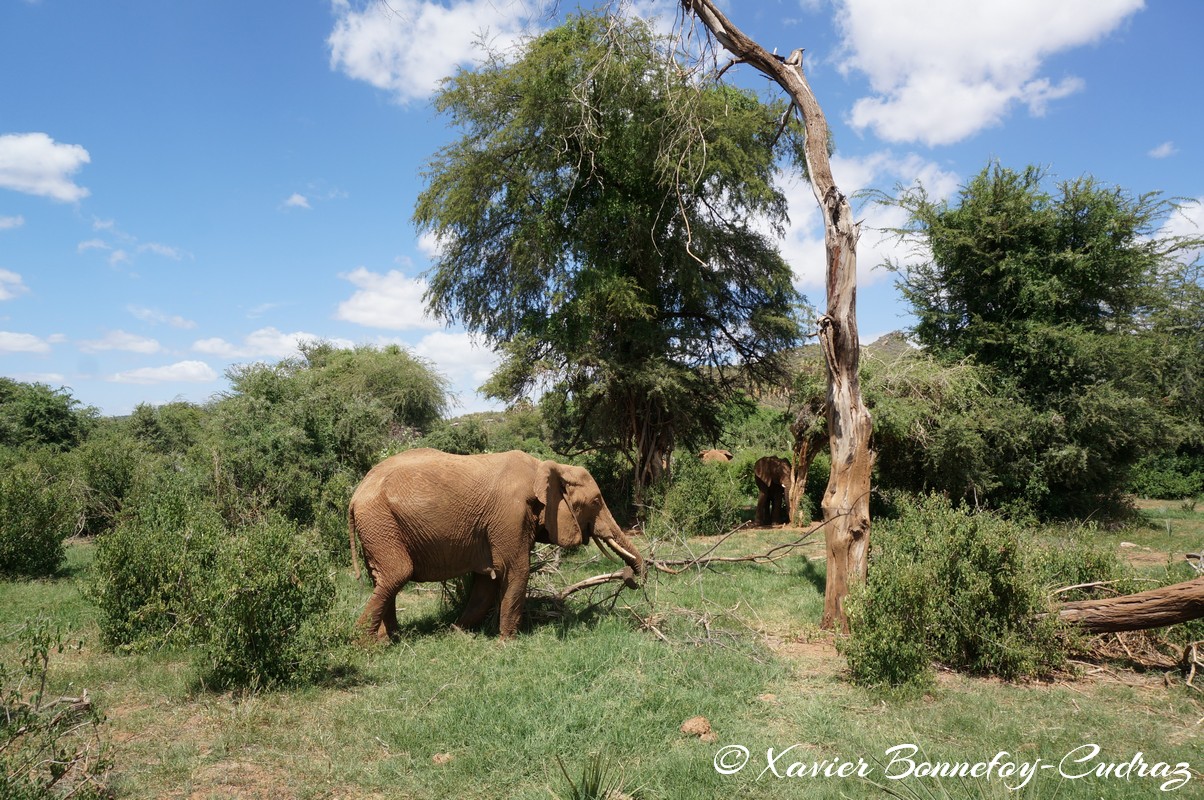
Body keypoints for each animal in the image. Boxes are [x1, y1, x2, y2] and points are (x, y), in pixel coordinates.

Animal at [344, 445, 645, 640]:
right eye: (595, 501)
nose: (631, 579)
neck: (544, 467)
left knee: (383, 579)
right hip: (380, 522)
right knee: (397, 574)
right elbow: (516, 571)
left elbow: (485, 583)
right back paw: (363, 643)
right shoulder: (510, 514)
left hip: (379, 526)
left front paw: (457, 632)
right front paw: (507, 643)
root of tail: (356, 493)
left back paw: (391, 638)